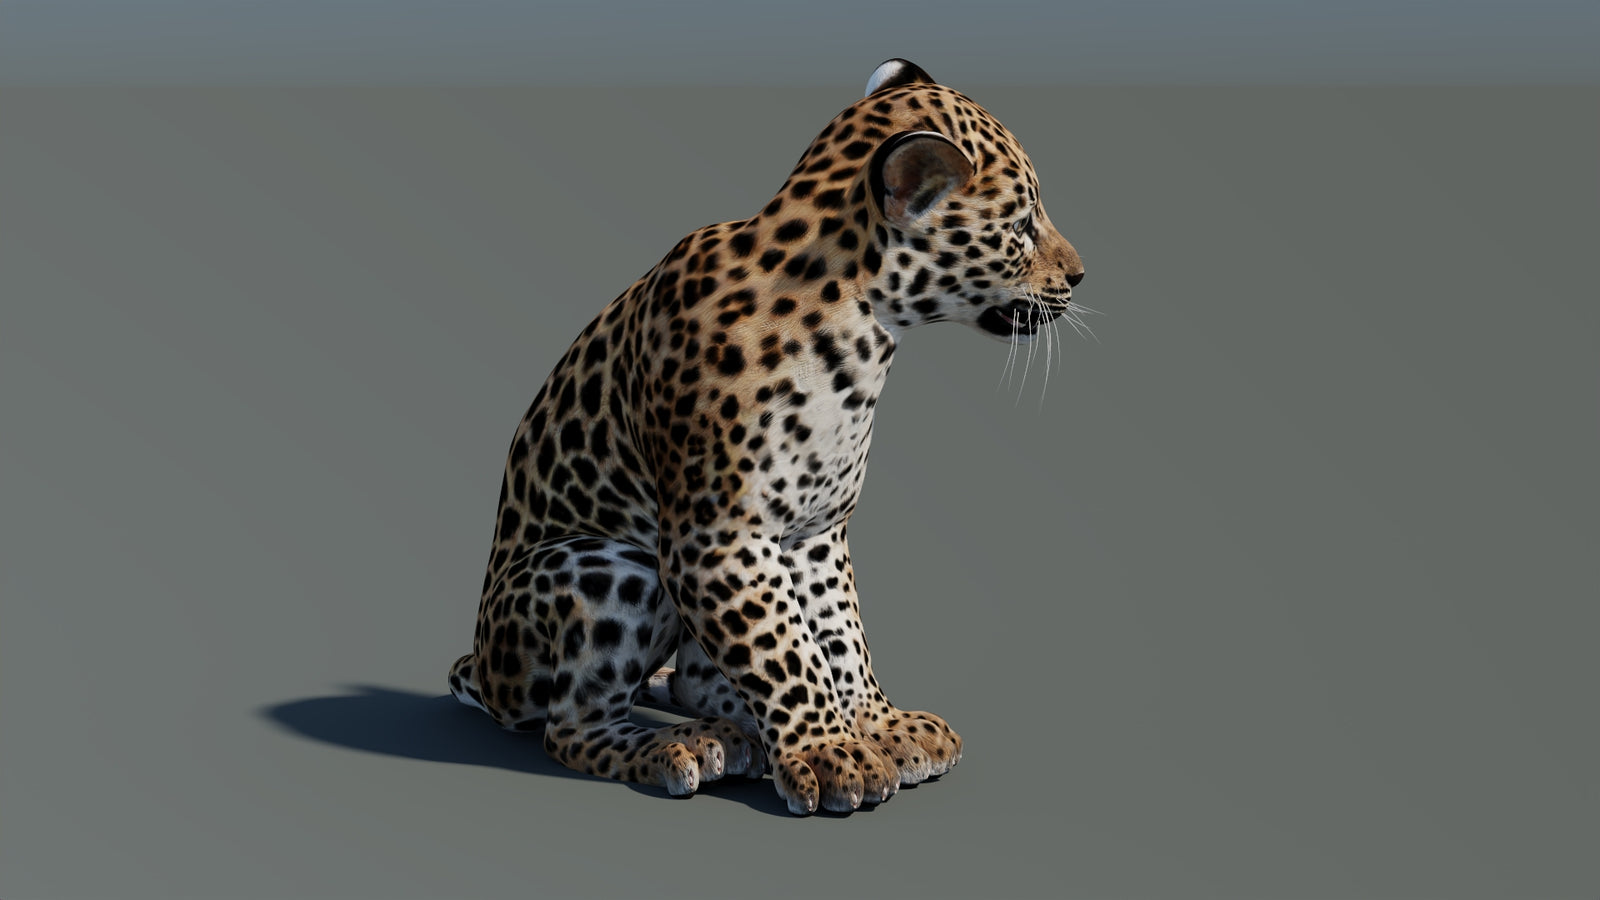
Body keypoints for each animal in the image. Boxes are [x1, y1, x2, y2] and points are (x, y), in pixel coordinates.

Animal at [448, 59, 1086, 816]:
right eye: (1019, 226)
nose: (1081, 276)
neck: (862, 330)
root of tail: (485, 670)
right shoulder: (716, 538)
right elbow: (781, 645)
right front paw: (830, 751)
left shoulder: (815, 532)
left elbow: (838, 636)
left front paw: (878, 727)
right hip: (610, 566)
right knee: (572, 726)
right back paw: (684, 745)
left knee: (689, 678)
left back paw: (733, 724)